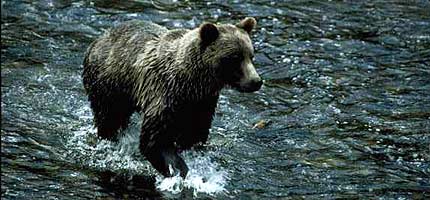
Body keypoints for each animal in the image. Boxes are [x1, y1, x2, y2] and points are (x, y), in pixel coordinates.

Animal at [81, 17, 262, 178]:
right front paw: (176, 168)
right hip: (109, 84)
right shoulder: (163, 93)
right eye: (235, 58)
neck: (192, 82)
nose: (256, 81)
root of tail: (98, 39)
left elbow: (194, 134)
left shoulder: (202, 103)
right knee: (109, 118)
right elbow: (154, 139)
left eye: (251, 55)